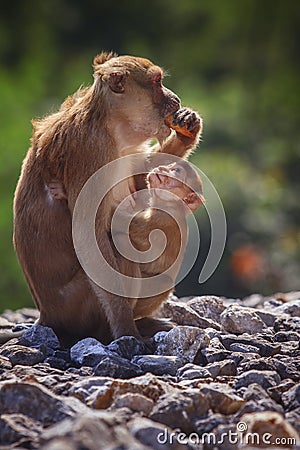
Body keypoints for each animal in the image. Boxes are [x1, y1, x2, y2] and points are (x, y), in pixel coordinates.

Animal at [13, 51, 202, 342]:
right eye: (157, 82)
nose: (175, 98)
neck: (110, 125)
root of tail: (48, 316)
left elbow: (140, 175)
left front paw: (188, 129)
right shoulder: (92, 150)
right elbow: (88, 235)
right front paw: (125, 329)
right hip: (79, 305)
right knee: (121, 252)